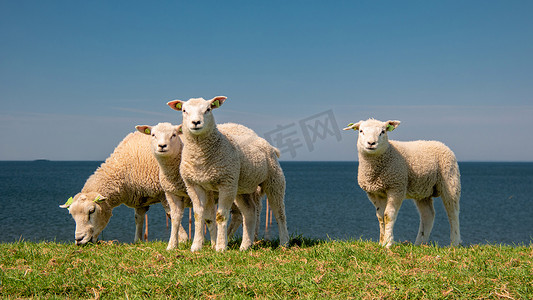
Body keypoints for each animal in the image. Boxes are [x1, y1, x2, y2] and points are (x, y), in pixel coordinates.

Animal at [57, 131, 187, 246]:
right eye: (71, 214)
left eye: (92, 211)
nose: (79, 240)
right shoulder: (141, 199)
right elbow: (138, 218)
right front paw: (137, 241)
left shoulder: (165, 193)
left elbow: (171, 214)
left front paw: (182, 239)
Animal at [168, 96, 288, 251]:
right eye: (184, 110)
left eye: (208, 109)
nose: (196, 123)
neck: (201, 156)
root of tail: (269, 145)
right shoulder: (193, 185)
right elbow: (198, 215)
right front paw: (196, 246)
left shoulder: (226, 183)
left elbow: (220, 216)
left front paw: (220, 247)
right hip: (242, 187)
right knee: (249, 212)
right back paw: (245, 246)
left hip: (274, 180)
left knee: (279, 212)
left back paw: (284, 243)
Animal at [342, 118, 460, 247]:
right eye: (361, 131)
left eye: (383, 132)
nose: (371, 143)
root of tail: (441, 144)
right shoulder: (374, 193)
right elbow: (380, 217)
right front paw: (381, 242)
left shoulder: (396, 187)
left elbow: (388, 215)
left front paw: (388, 243)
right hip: (423, 191)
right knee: (428, 215)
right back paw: (419, 243)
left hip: (450, 181)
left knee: (453, 213)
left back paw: (454, 243)